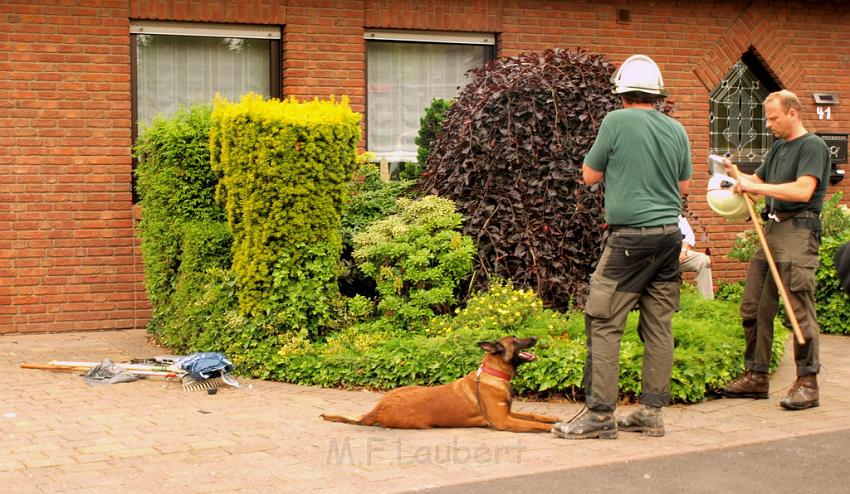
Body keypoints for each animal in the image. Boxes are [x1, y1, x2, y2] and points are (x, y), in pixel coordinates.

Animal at [318, 336, 556, 432]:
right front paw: (552, 428)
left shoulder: (507, 413)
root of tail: (378, 410)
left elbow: (533, 415)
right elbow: (531, 424)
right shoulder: (502, 420)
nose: (535, 337)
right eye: (515, 340)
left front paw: (553, 419)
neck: (494, 373)